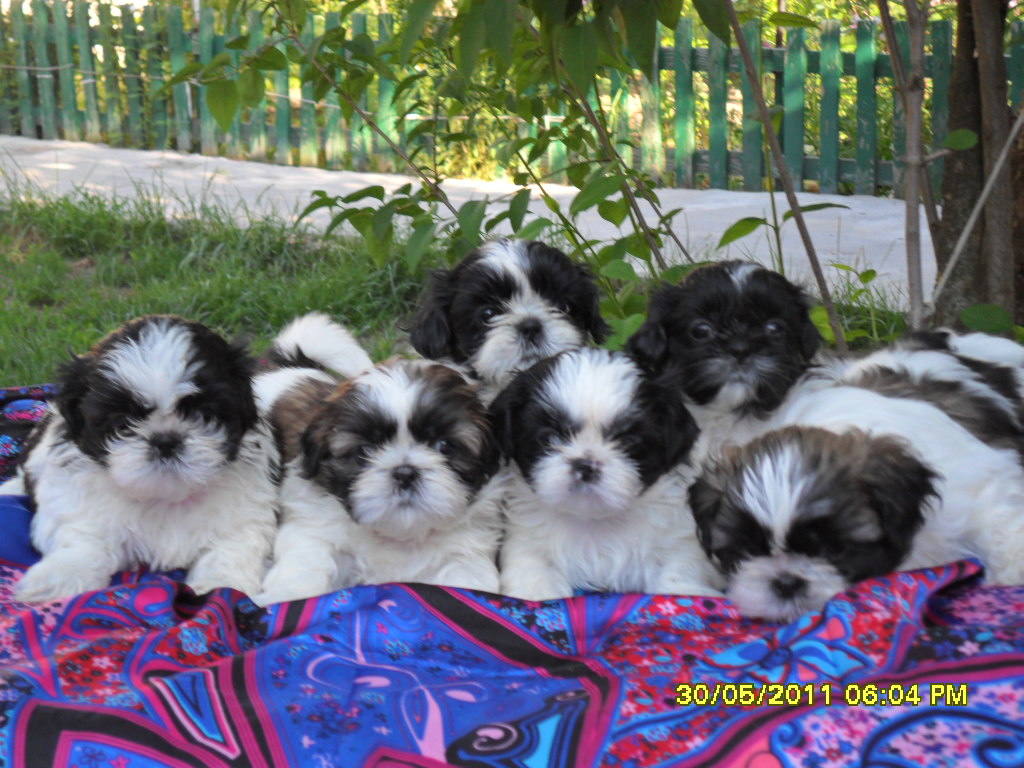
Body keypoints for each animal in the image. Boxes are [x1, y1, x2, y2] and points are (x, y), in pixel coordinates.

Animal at [0, 315, 280, 602]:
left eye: (204, 414)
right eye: (123, 424)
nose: (165, 440)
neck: (163, 498)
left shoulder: (243, 519)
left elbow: (229, 550)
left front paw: (220, 585)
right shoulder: (75, 507)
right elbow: (86, 539)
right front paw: (61, 576)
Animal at [255, 321, 502, 604]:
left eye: (444, 446)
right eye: (365, 450)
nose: (405, 472)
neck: (398, 536)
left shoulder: (465, 555)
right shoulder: (313, 532)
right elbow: (307, 568)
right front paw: (288, 596)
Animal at [491, 347, 722, 601]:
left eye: (628, 442)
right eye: (549, 438)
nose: (585, 465)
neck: (594, 522)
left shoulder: (675, 547)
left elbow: (677, 579)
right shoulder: (528, 545)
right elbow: (535, 580)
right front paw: (537, 592)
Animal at [689, 384, 1024, 622]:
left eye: (832, 550)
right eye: (746, 552)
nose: (785, 582)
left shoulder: (976, 489)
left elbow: (999, 525)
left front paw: (1011, 575)